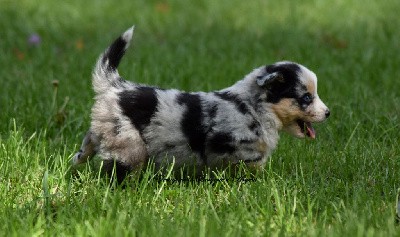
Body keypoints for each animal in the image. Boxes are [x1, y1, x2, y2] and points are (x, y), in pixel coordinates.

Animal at [72, 26, 332, 181]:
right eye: (306, 97)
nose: (328, 113)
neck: (254, 107)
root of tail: (116, 86)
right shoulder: (239, 150)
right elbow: (250, 169)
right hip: (128, 143)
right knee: (118, 167)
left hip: (102, 130)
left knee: (85, 148)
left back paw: (76, 165)